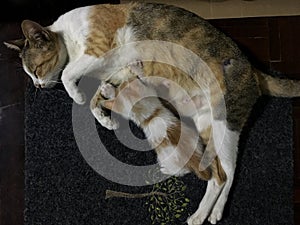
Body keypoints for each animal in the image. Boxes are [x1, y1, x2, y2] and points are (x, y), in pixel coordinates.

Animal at [4, 2, 300, 225]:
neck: (68, 35)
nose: (38, 86)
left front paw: (76, 94)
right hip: (211, 125)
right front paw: (105, 120)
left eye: (37, 69)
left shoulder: (98, 48)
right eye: (30, 75)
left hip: (221, 122)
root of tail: (256, 71)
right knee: (226, 170)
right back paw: (213, 212)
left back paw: (200, 215)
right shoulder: (118, 73)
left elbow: (68, 74)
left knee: (222, 175)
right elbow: (96, 99)